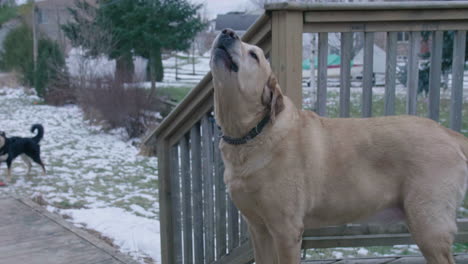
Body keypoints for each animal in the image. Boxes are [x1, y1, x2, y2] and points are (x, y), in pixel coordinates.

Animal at [210, 28, 468, 264]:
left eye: (254, 55)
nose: (227, 32)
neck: (248, 135)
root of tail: (448, 132)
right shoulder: (258, 228)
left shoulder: (286, 230)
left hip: (428, 223)